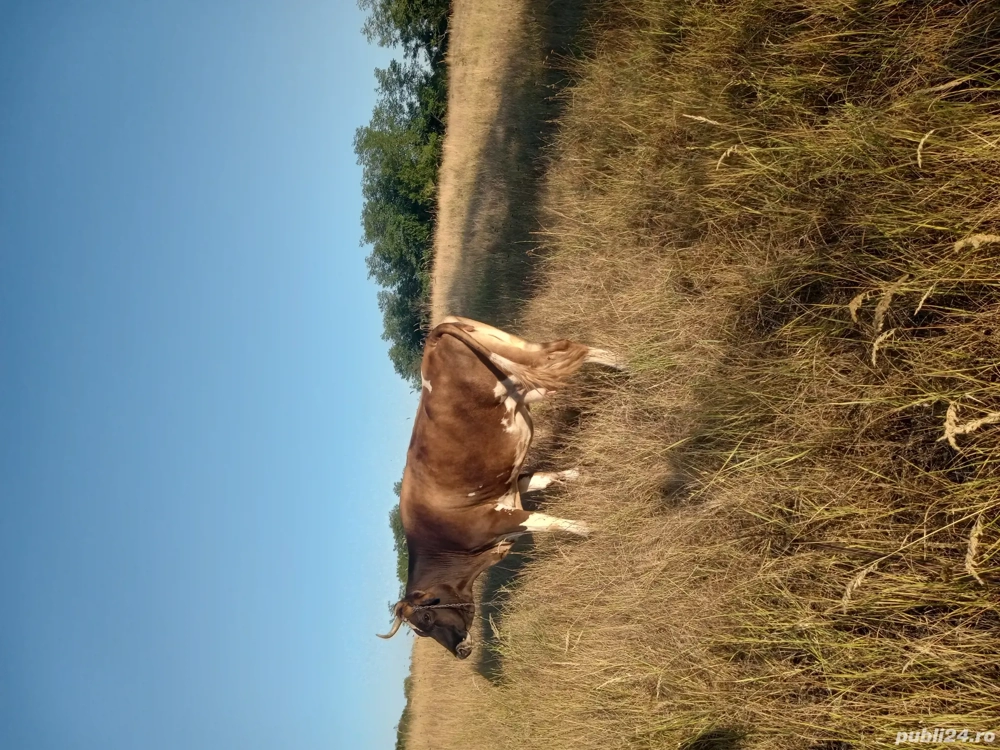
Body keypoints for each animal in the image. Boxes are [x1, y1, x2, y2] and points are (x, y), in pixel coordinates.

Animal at [377, 316, 622, 658]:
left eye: (426, 619)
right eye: (421, 632)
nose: (460, 651)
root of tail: (435, 337)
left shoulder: (498, 518)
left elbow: (550, 522)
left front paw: (592, 528)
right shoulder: (509, 488)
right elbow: (546, 478)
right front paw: (579, 476)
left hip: (520, 381)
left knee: (567, 354)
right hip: (516, 357)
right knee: (565, 348)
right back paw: (625, 361)